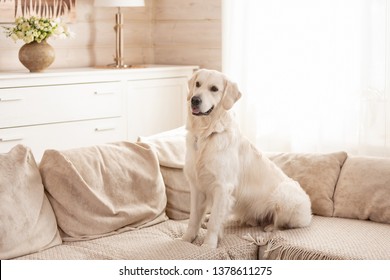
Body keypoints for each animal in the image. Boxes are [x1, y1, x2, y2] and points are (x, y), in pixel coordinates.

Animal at [181, 69, 312, 248]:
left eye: (214, 89)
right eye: (197, 84)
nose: (195, 100)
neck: (206, 134)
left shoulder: (222, 186)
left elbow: (215, 221)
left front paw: (208, 245)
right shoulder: (196, 186)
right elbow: (193, 218)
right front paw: (186, 240)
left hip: (284, 194)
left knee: (281, 223)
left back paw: (269, 227)